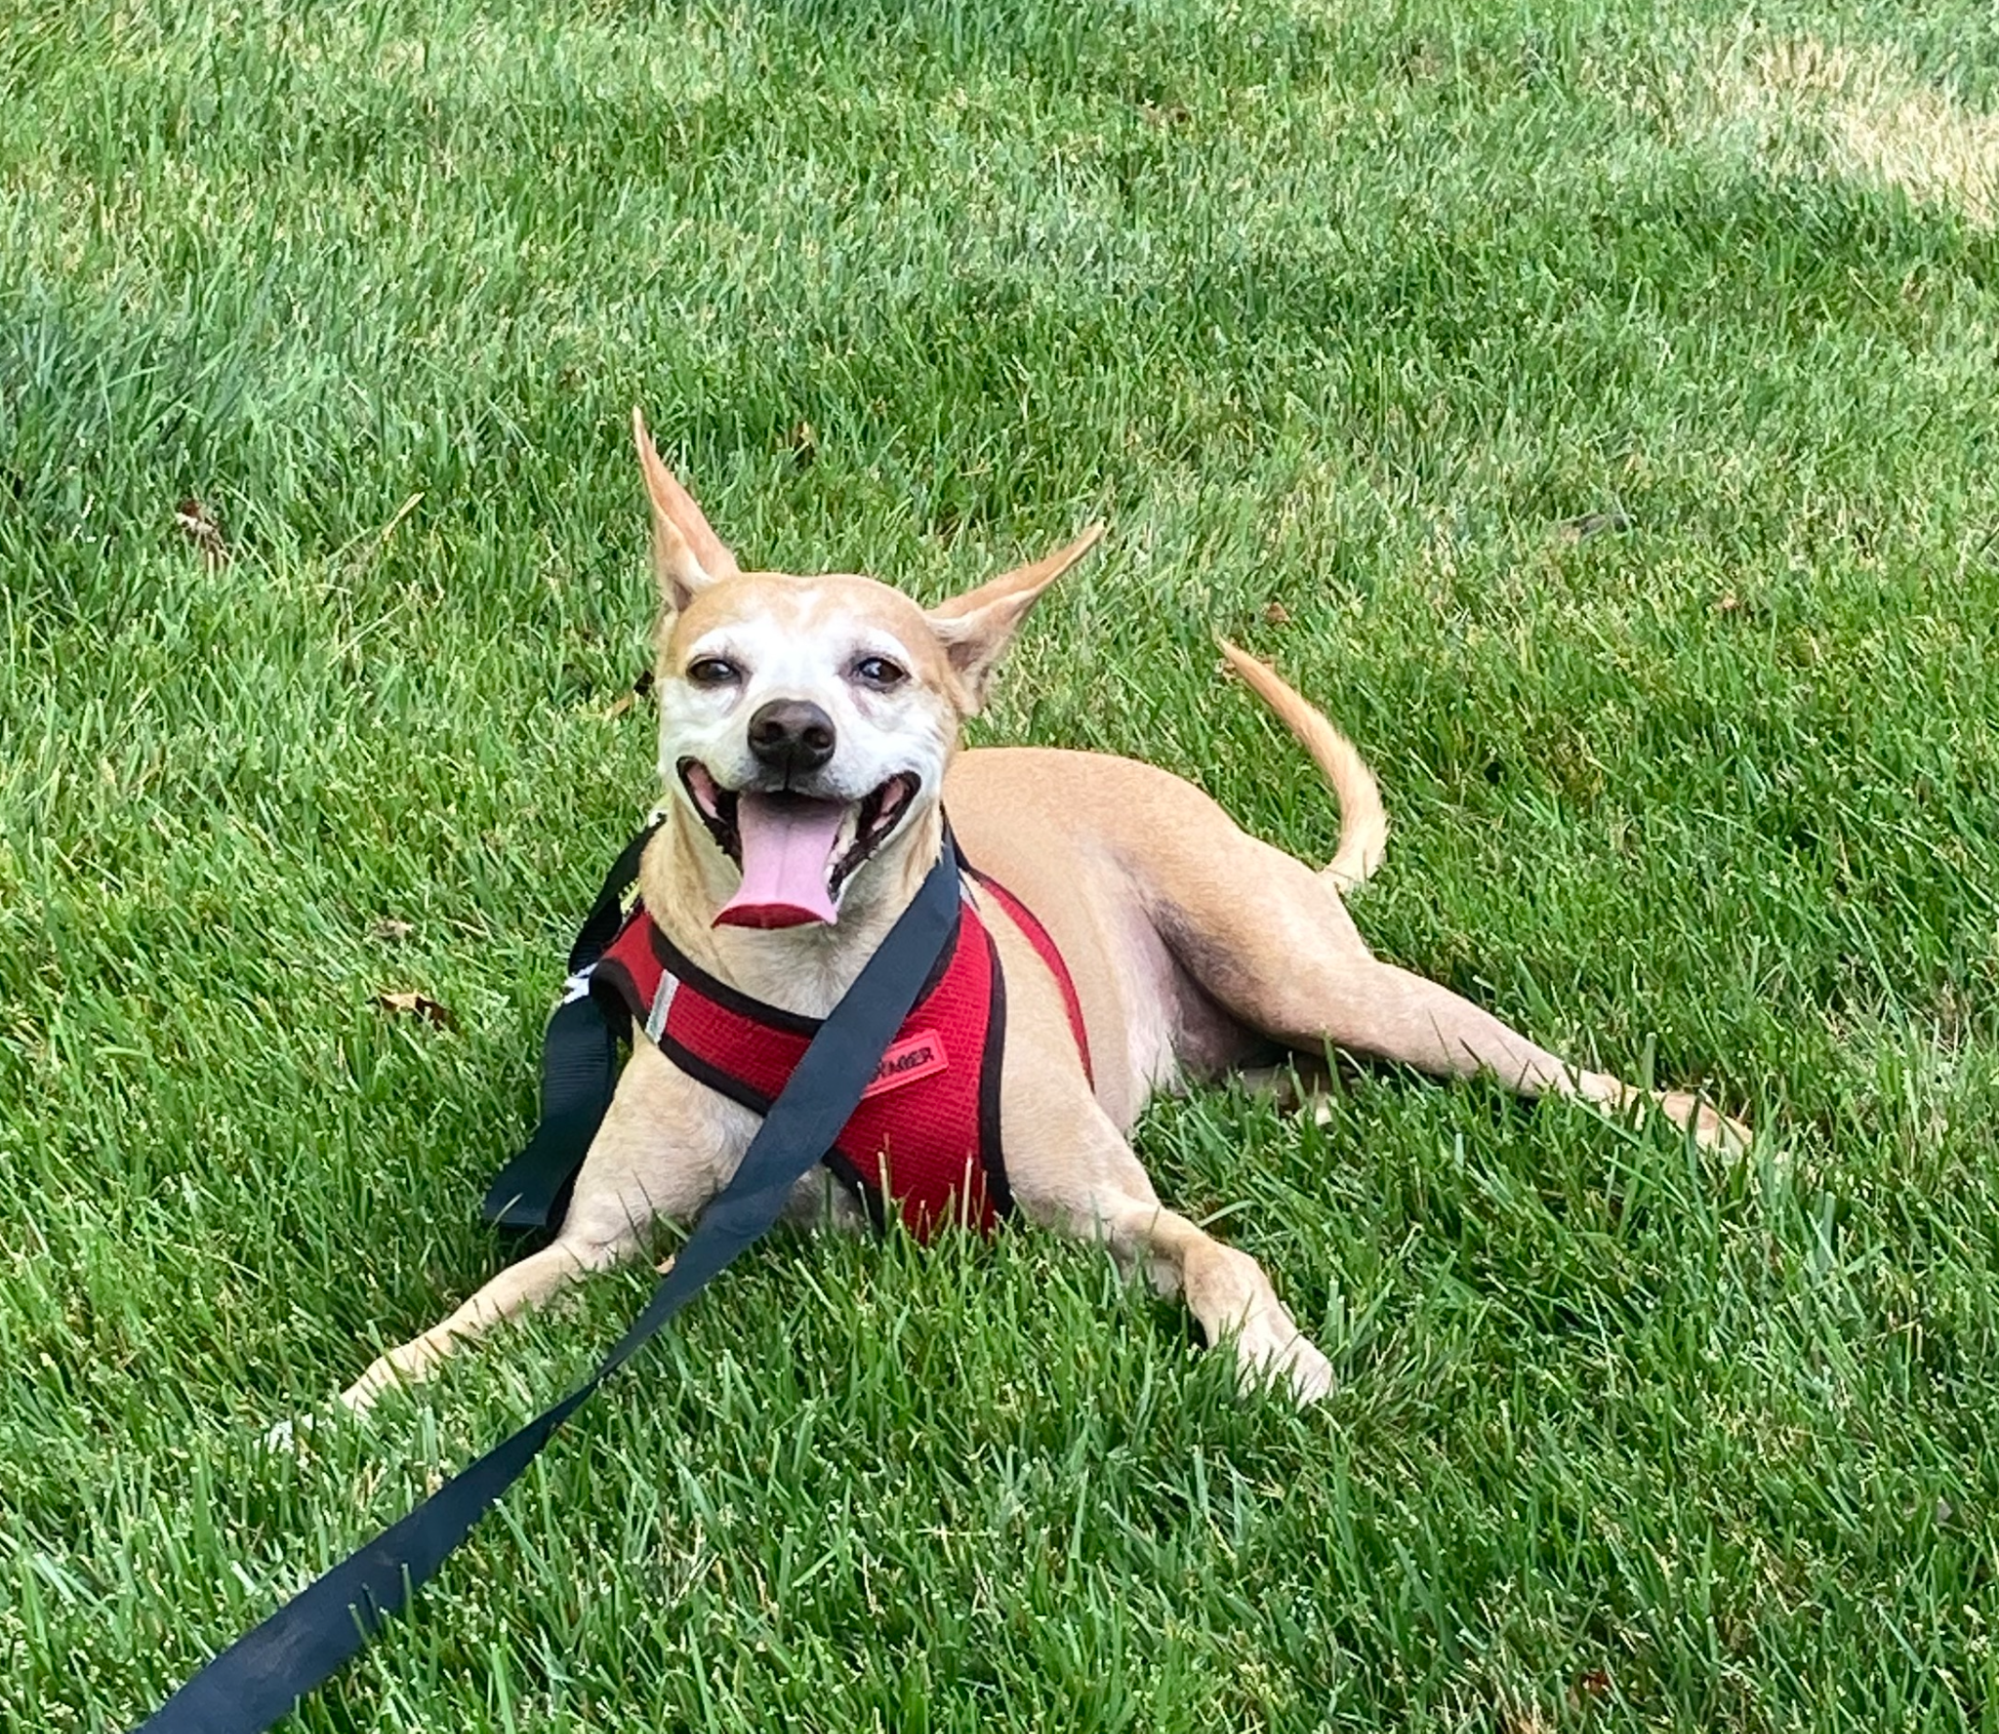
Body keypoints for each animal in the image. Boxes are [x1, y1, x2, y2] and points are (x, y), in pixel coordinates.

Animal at [335, 414, 1743, 1416]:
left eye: (878, 669)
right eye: (715, 670)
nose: (789, 730)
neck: (828, 1000)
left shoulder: (1112, 1213)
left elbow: (1223, 1257)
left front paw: (1274, 1353)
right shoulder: (601, 1246)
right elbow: (445, 1339)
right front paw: (332, 1428)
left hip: (1307, 973)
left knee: (1535, 1067)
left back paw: (1702, 1131)